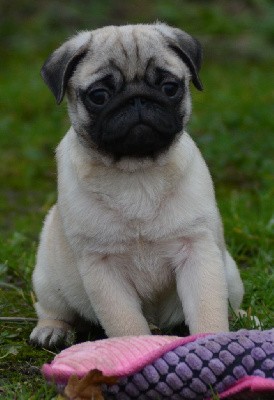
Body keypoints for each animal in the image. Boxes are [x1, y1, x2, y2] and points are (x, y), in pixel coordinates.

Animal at [30, 21, 244, 348]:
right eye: (99, 95)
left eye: (170, 88)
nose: (137, 99)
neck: (137, 171)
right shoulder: (102, 267)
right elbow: (125, 322)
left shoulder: (197, 251)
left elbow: (208, 308)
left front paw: (212, 342)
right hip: (48, 279)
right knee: (54, 308)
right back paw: (52, 330)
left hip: (229, 274)